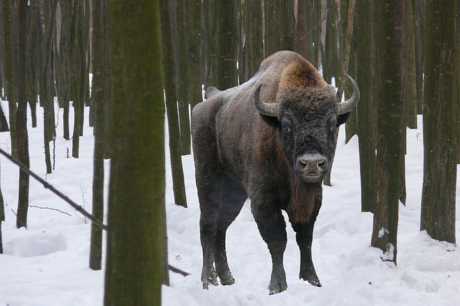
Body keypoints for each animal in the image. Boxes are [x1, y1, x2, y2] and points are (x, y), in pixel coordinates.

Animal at [190, 50, 360, 294]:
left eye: (332, 125)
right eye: (287, 125)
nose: (311, 163)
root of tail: (203, 105)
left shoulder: (313, 200)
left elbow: (305, 238)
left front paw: (312, 279)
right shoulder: (263, 201)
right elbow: (278, 239)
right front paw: (278, 285)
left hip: (235, 193)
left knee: (221, 228)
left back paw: (227, 278)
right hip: (207, 179)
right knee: (208, 225)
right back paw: (208, 280)